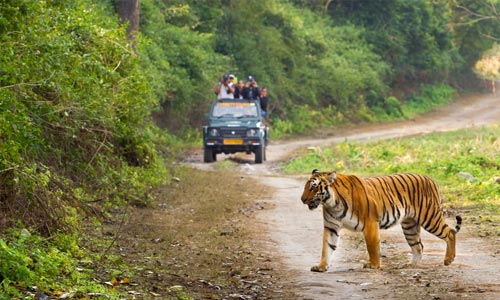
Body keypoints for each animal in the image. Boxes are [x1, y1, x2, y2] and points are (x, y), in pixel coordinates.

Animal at [300, 169, 460, 272]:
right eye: (306, 187)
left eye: (313, 187)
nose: (302, 199)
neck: (332, 203)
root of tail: (431, 179)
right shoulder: (331, 227)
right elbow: (326, 247)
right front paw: (321, 266)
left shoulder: (370, 223)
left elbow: (372, 246)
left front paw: (374, 265)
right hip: (410, 226)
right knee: (418, 246)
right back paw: (410, 265)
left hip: (429, 217)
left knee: (450, 232)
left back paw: (448, 260)